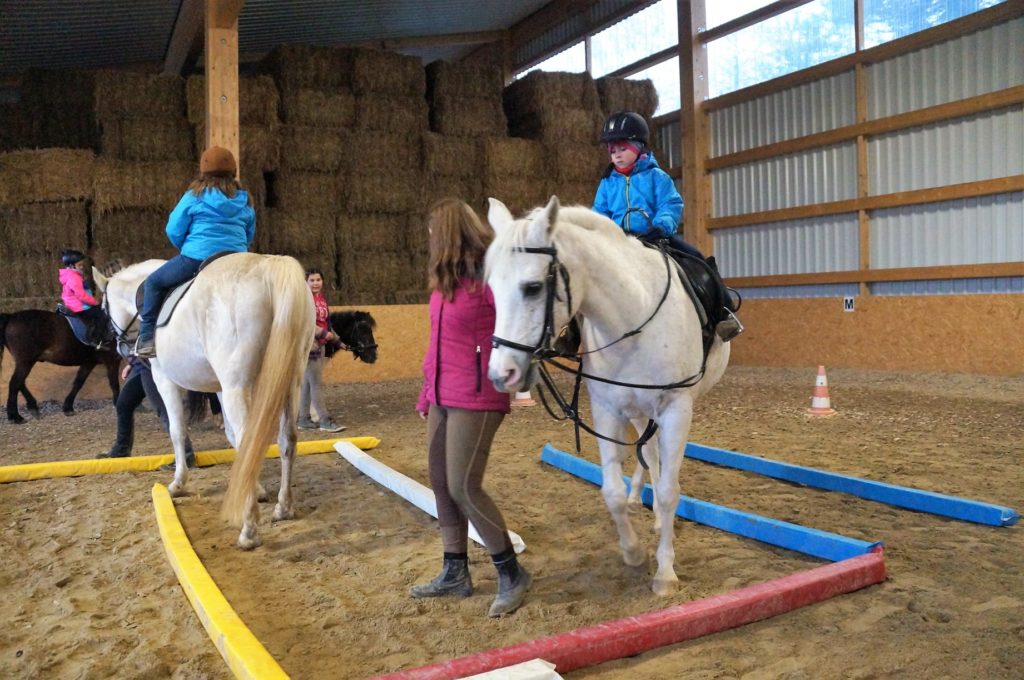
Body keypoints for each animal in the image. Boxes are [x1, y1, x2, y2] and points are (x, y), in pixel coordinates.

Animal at [96, 251, 313, 548]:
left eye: (103, 309)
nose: (120, 348)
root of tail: (266, 267)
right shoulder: (219, 387)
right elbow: (233, 438)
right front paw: (255, 490)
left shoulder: (164, 379)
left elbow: (176, 430)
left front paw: (178, 483)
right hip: (290, 382)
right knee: (286, 440)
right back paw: (283, 508)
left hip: (238, 386)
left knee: (251, 439)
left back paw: (248, 531)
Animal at [485, 196, 733, 593]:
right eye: (491, 288)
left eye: (533, 287)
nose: (501, 374)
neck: (634, 318)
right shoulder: (606, 409)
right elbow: (611, 491)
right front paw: (633, 552)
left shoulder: (676, 409)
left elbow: (669, 492)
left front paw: (665, 572)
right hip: (637, 410)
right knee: (648, 450)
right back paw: (639, 502)